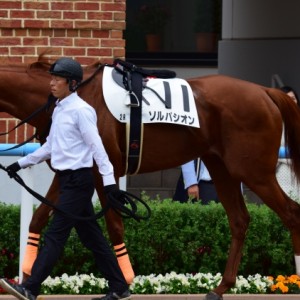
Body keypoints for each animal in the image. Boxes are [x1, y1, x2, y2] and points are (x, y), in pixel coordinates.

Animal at [0, 56, 300, 300]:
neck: (73, 97)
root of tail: (265, 92)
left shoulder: (104, 168)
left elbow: (114, 225)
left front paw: (123, 282)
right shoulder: (68, 171)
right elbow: (39, 218)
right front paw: (25, 278)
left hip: (254, 171)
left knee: (291, 213)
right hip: (222, 168)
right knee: (239, 220)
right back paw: (220, 287)